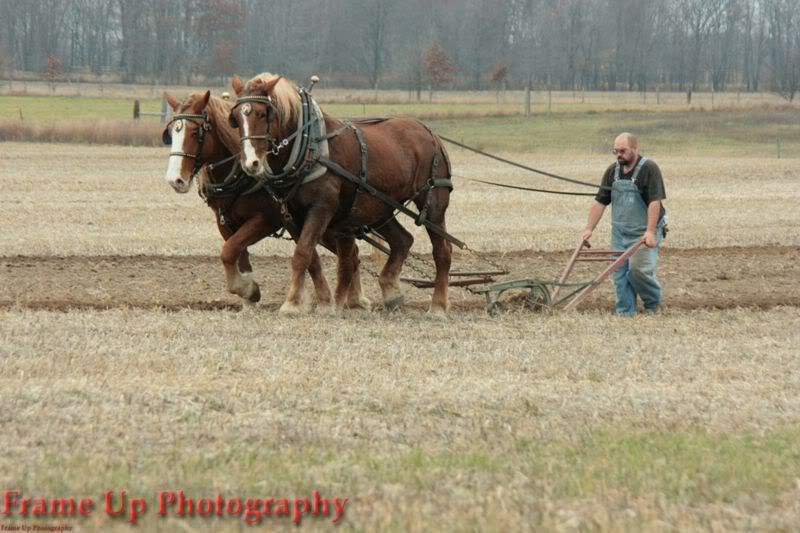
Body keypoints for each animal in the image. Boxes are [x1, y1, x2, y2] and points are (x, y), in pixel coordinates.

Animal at [160, 89, 372, 310]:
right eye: (171, 133)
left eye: (196, 132)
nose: (175, 180)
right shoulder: (225, 222)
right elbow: (238, 255)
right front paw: (248, 297)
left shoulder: (267, 220)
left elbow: (228, 251)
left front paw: (249, 290)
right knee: (352, 253)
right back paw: (355, 299)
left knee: (351, 253)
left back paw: (355, 299)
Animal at [230, 72, 456, 314]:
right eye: (235, 118)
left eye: (262, 114)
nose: (250, 163)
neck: (310, 147)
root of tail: (429, 131)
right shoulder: (292, 216)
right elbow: (311, 257)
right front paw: (318, 303)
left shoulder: (321, 209)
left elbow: (302, 255)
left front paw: (291, 305)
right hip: (380, 208)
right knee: (403, 240)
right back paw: (391, 293)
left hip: (433, 205)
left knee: (442, 251)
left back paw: (438, 307)